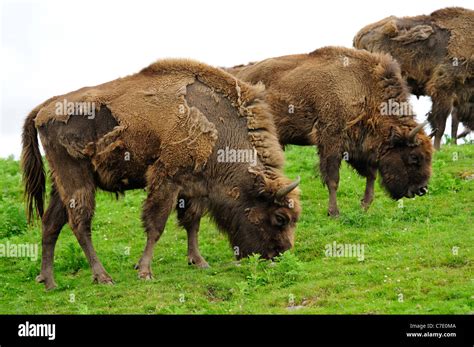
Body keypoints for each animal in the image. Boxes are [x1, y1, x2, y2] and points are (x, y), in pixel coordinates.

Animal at [22, 59, 300, 290]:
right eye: (280, 218)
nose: (279, 254)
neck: (218, 128)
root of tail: (43, 109)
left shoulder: (194, 188)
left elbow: (192, 223)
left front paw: (199, 262)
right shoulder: (167, 180)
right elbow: (156, 225)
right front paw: (145, 271)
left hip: (61, 183)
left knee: (51, 224)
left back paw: (48, 281)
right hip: (77, 178)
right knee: (80, 223)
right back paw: (102, 277)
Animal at [227, 47, 434, 218]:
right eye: (414, 157)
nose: (421, 189)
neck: (363, 88)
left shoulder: (358, 147)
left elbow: (371, 174)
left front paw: (364, 206)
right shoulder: (331, 143)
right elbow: (333, 179)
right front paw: (334, 213)